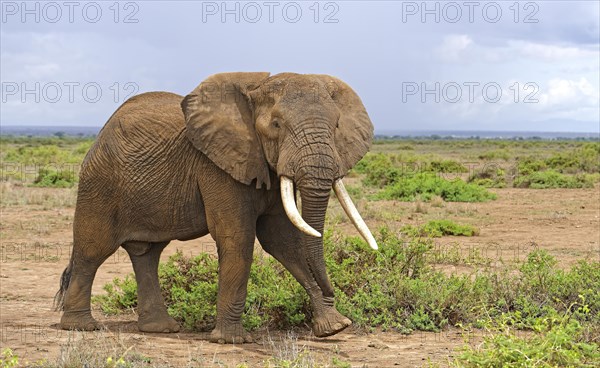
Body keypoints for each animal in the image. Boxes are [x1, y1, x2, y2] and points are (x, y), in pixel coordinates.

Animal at [55, 71, 376, 342]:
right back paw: (80, 327)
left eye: (336, 126)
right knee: (92, 249)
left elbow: (283, 242)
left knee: (147, 253)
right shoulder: (217, 166)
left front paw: (334, 327)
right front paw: (231, 340)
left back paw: (161, 328)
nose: (333, 292)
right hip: (100, 183)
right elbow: (238, 238)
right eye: (276, 125)